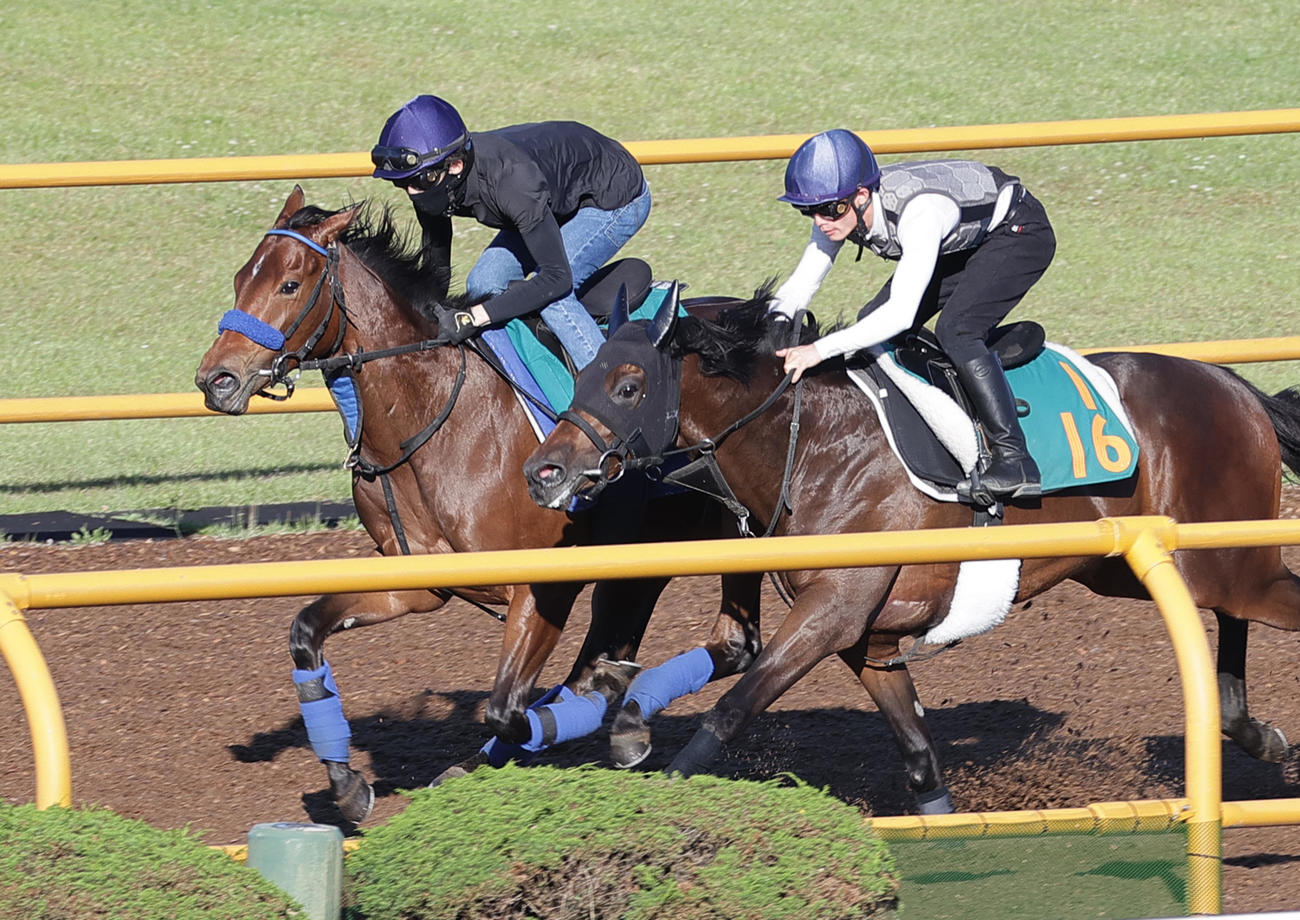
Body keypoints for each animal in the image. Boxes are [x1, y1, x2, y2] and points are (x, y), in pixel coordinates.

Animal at [194, 186, 763, 823]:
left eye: (290, 285)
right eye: (240, 278)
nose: (216, 379)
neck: (431, 415)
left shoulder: (543, 586)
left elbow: (507, 709)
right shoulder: (418, 581)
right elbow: (306, 632)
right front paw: (347, 786)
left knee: (725, 646)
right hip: (646, 559)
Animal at [522, 286, 1300, 813]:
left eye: (629, 385)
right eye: (580, 373)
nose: (544, 472)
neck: (817, 445)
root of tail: (1235, 387)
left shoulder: (833, 609)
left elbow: (732, 711)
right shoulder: (867, 636)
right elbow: (920, 758)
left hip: (1221, 560)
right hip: (1134, 569)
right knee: (1229, 616)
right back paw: (1249, 727)